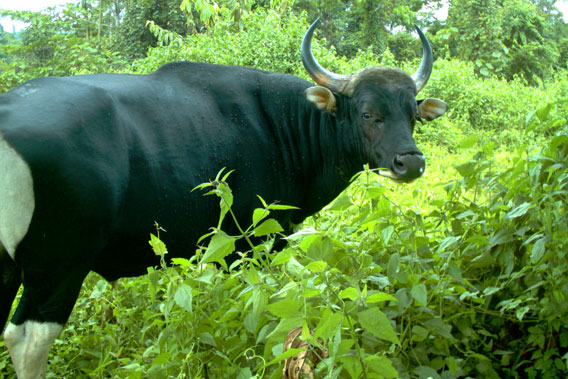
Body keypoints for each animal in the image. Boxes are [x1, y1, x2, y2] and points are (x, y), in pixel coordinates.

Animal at [0, 19, 448, 378]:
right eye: (369, 114)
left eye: (412, 114)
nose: (410, 162)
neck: (282, 125)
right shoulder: (256, 243)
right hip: (58, 268)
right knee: (28, 340)